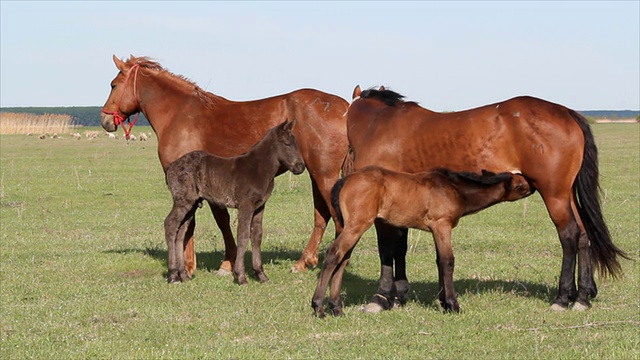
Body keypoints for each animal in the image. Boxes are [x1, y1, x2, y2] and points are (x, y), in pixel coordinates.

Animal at [165, 120, 304, 284]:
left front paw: (261, 274)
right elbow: (243, 235)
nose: (301, 167)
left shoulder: (259, 206)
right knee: (170, 224)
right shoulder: (246, 205)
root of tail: (171, 167)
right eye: (287, 144)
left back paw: (184, 275)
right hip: (183, 201)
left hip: (192, 204)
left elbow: (257, 236)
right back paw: (173, 275)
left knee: (181, 231)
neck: (257, 168)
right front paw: (241, 276)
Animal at [312, 165, 532, 316]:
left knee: (343, 259)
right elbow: (448, 261)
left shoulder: (436, 230)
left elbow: (439, 261)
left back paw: (336, 307)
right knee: (333, 255)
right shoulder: (442, 225)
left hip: (350, 226)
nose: (534, 185)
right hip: (356, 226)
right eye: (521, 184)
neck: (455, 190)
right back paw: (318, 306)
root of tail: (344, 181)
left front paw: (444, 303)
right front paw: (453, 305)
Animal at [344, 86, 632, 312]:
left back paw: (562, 299)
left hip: (554, 195)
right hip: (566, 194)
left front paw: (381, 298)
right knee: (583, 235)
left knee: (570, 235)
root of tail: (567, 113)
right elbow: (400, 249)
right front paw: (399, 296)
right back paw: (582, 296)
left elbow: (386, 251)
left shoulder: (382, 212)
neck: (379, 125)